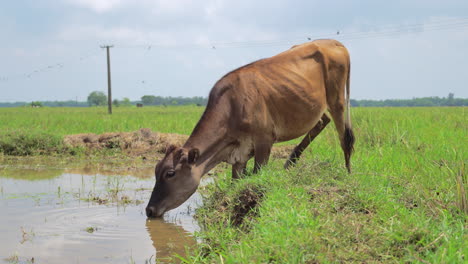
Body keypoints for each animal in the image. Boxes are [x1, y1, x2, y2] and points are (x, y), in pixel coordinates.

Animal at [146, 38, 354, 217]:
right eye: (155, 169)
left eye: (170, 173)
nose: (149, 210)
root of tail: (334, 42)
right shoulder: (240, 155)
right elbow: (235, 182)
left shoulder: (264, 140)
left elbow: (258, 174)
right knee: (322, 120)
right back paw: (291, 161)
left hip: (337, 100)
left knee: (345, 138)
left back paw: (348, 175)